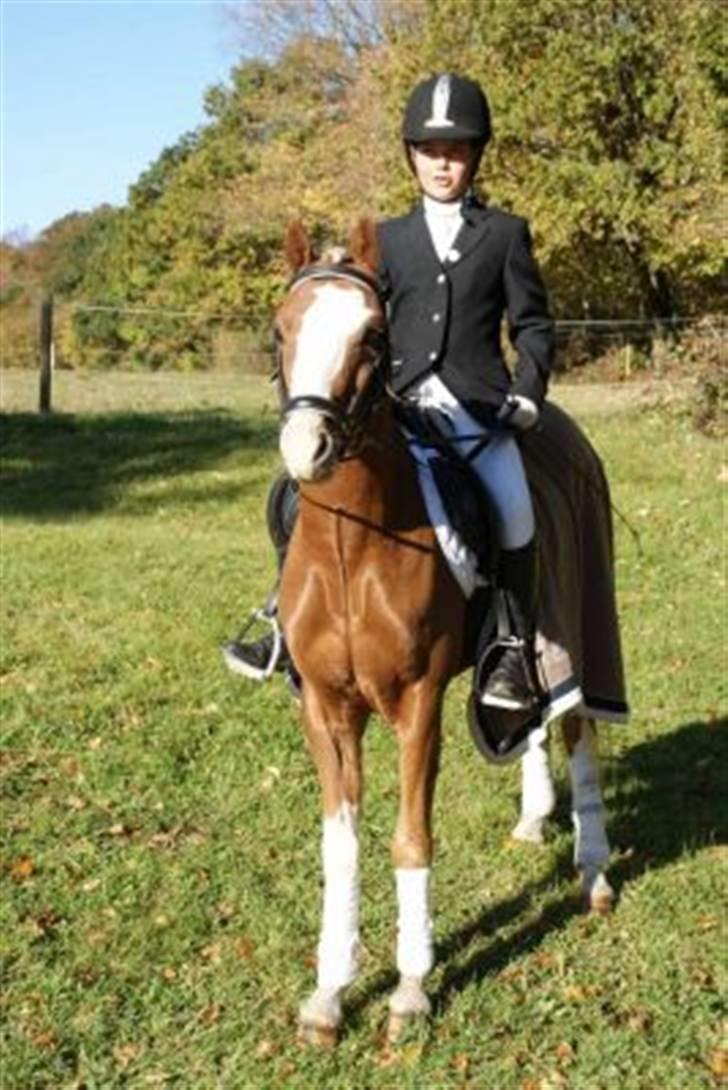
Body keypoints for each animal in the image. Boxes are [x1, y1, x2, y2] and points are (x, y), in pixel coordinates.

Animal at [274, 217, 618, 1045]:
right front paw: (329, 993)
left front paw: (409, 990)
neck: (352, 547)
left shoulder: (416, 704)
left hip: (579, 620)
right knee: (529, 714)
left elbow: (410, 838)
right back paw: (533, 819)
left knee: (577, 727)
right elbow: (340, 845)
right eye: (281, 330)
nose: (307, 450)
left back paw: (594, 869)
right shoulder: (325, 707)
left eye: (372, 336)